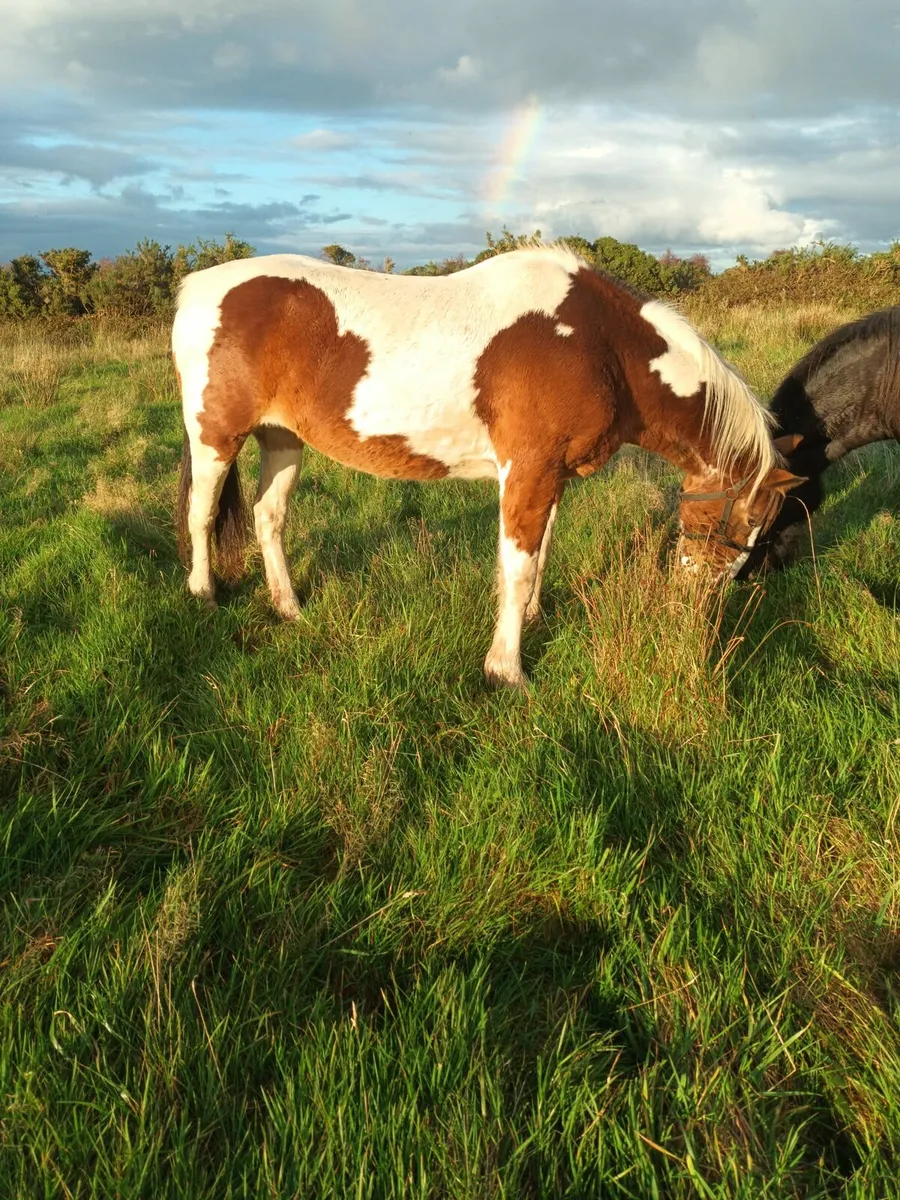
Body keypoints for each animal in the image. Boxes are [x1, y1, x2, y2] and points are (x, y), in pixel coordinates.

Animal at [172, 244, 803, 687]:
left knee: (268, 517)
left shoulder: (552, 477)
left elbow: (538, 557)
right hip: (216, 437)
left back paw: (290, 609)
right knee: (202, 512)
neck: (600, 346)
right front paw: (507, 669)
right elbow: (518, 566)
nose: (702, 609)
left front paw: (533, 620)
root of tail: (196, 289)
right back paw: (203, 593)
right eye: (747, 525)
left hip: (283, 440)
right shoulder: (528, 470)